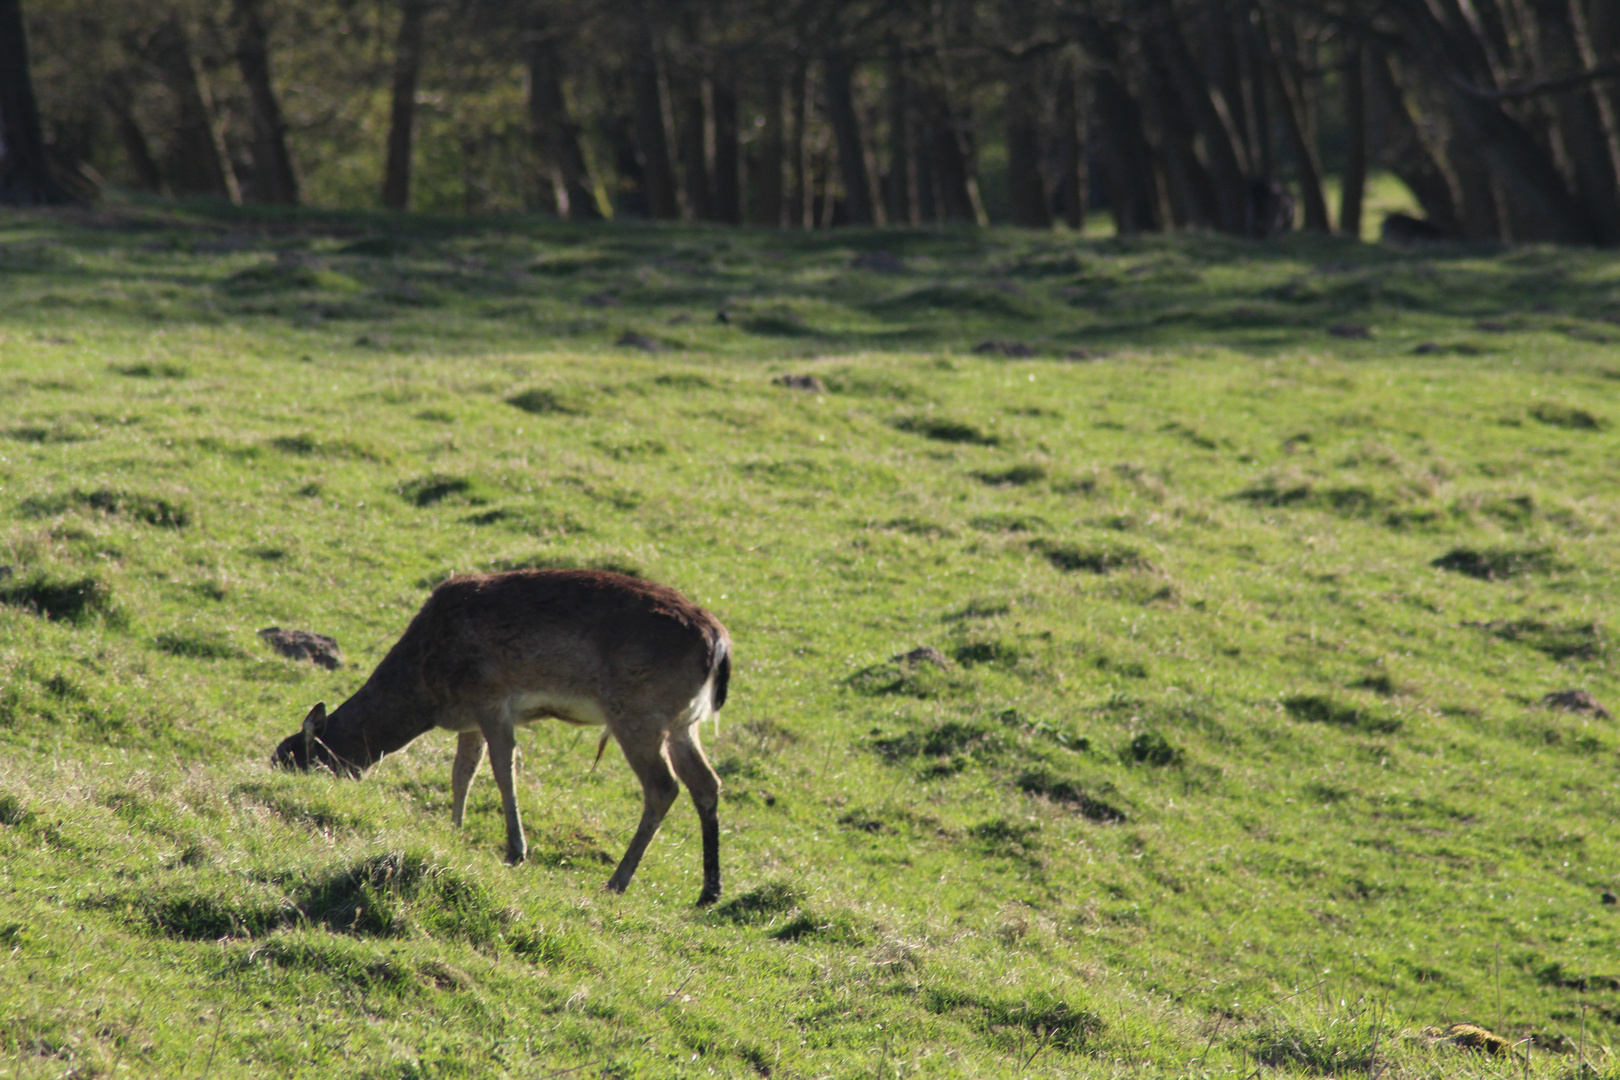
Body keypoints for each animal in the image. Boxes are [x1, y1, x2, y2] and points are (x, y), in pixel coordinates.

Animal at [272, 569, 735, 906]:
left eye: (295, 761)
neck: (428, 686)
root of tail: (719, 645)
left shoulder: (490, 695)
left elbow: (501, 767)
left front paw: (515, 850)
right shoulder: (471, 718)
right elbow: (463, 772)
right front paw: (454, 831)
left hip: (638, 713)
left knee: (663, 786)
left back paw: (618, 880)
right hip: (683, 723)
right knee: (706, 783)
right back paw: (709, 891)